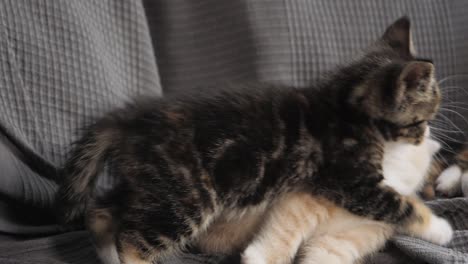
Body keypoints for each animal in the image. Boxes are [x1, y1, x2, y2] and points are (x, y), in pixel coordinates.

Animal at [56, 17, 452, 264]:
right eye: (422, 120)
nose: (426, 136)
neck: (344, 105)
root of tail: (129, 121)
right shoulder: (350, 179)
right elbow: (400, 204)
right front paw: (440, 229)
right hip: (184, 198)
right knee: (134, 239)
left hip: (152, 187)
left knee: (102, 210)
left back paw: (105, 250)